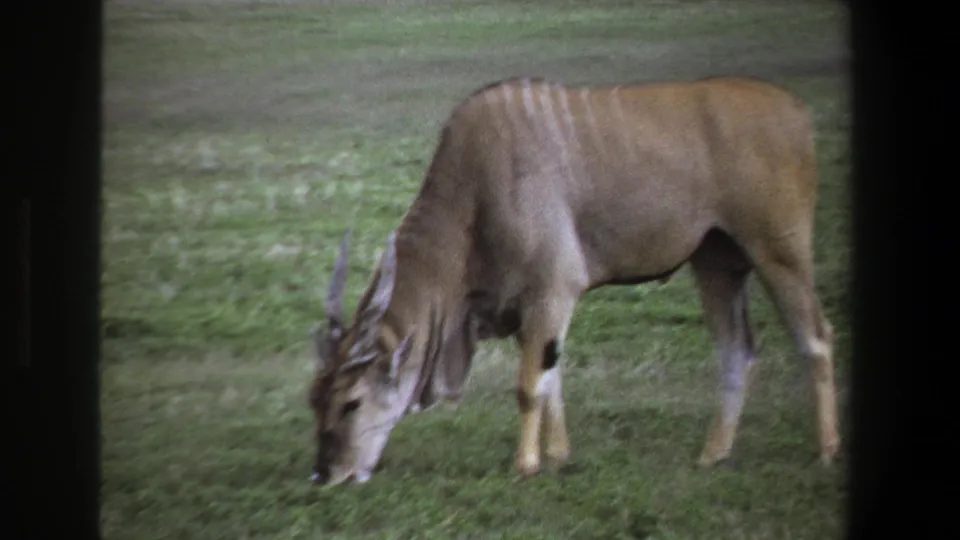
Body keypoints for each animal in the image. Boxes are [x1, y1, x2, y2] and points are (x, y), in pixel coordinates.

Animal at [308, 76, 840, 486]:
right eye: (314, 401)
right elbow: (552, 380)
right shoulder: (530, 306)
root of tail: (796, 110)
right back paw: (713, 455)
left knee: (816, 337)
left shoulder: (553, 290)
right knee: (737, 349)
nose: (326, 475)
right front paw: (559, 456)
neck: (474, 189)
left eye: (351, 404)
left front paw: (526, 465)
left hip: (779, 251)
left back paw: (827, 452)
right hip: (716, 262)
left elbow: (529, 386)